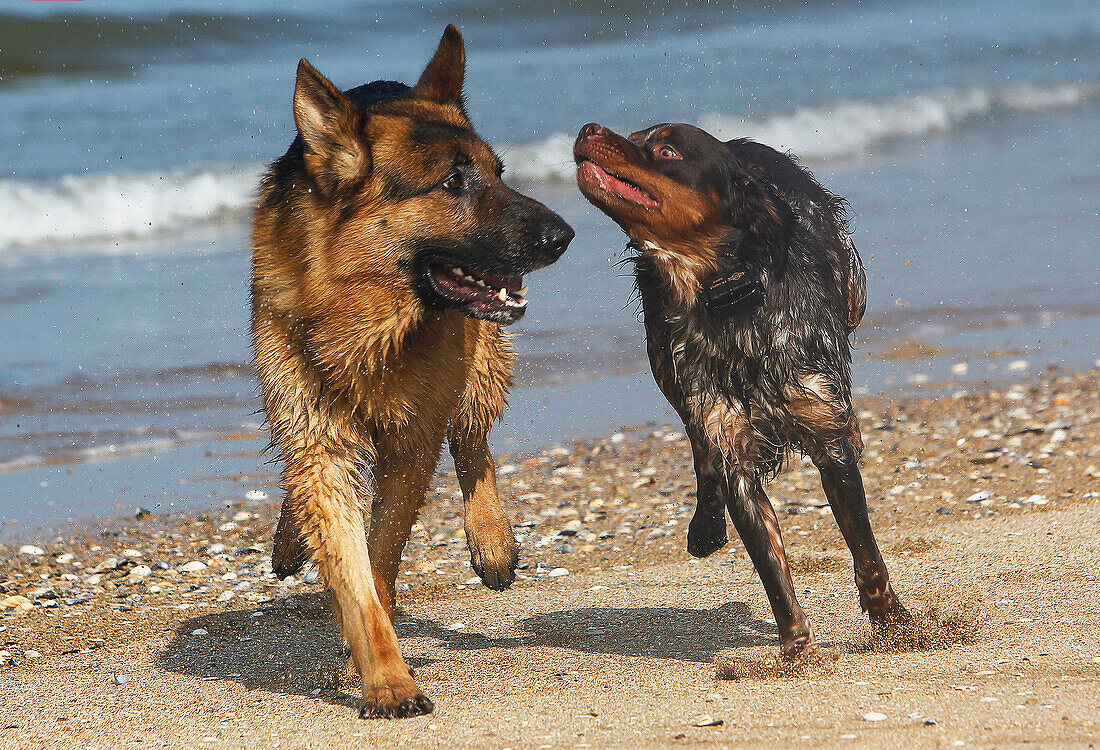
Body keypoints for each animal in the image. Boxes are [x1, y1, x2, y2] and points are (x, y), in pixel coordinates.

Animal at [250, 26, 576, 717]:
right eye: (452, 182)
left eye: (499, 173)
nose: (563, 235)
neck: (364, 312)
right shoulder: (320, 439)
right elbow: (352, 571)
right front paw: (387, 678)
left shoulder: (412, 443)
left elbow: (377, 561)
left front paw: (376, 666)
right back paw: (293, 535)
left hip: (480, 361)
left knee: (471, 433)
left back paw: (491, 537)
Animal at [572, 120, 906, 655]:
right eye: (636, 133)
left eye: (667, 150)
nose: (588, 128)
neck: (724, 294)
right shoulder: (733, 452)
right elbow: (771, 568)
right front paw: (795, 649)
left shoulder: (827, 440)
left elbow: (863, 547)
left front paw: (892, 621)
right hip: (665, 367)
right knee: (697, 447)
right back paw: (706, 525)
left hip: (854, 294)